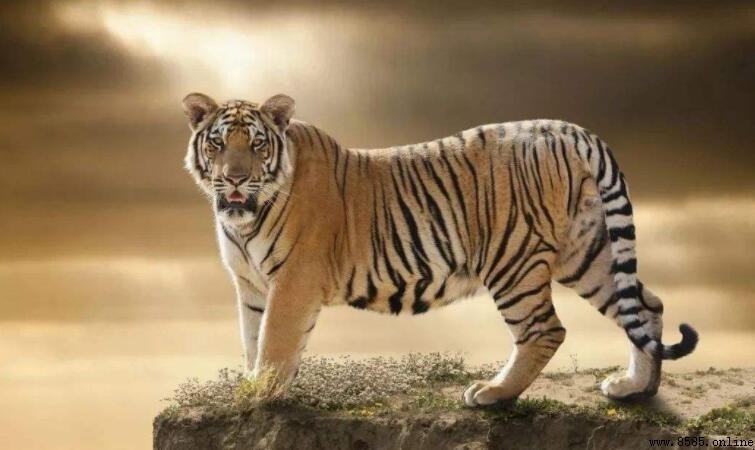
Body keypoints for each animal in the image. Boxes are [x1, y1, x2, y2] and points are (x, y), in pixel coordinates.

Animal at [181, 92, 698, 406]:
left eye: (256, 144)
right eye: (218, 143)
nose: (234, 178)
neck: (243, 218)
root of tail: (569, 129)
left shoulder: (293, 282)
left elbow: (274, 342)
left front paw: (257, 397)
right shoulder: (252, 286)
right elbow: (253, 339)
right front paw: (255, 387)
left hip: (513, 261)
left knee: (545, 330)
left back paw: (493, 393)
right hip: (587, 252)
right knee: (645, 303)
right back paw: (635, 388)